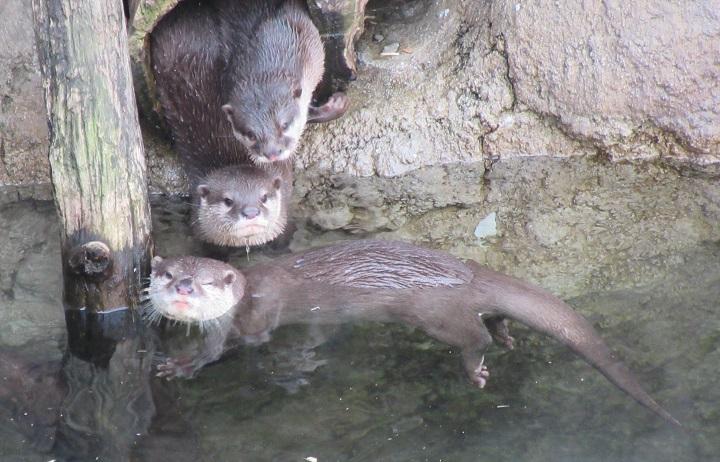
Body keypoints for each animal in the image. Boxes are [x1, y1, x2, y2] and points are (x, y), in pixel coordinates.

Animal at [146, 240, 680, 428]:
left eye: (202, 282)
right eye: (166, 275)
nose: (182, 289)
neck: (248, 289)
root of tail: (465, 272)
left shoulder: (253, 319)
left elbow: (235, 347)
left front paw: (182, 364)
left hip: (434, 316)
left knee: (473, 337)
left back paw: (477, 367)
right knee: (492, 318)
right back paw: (506, 337)